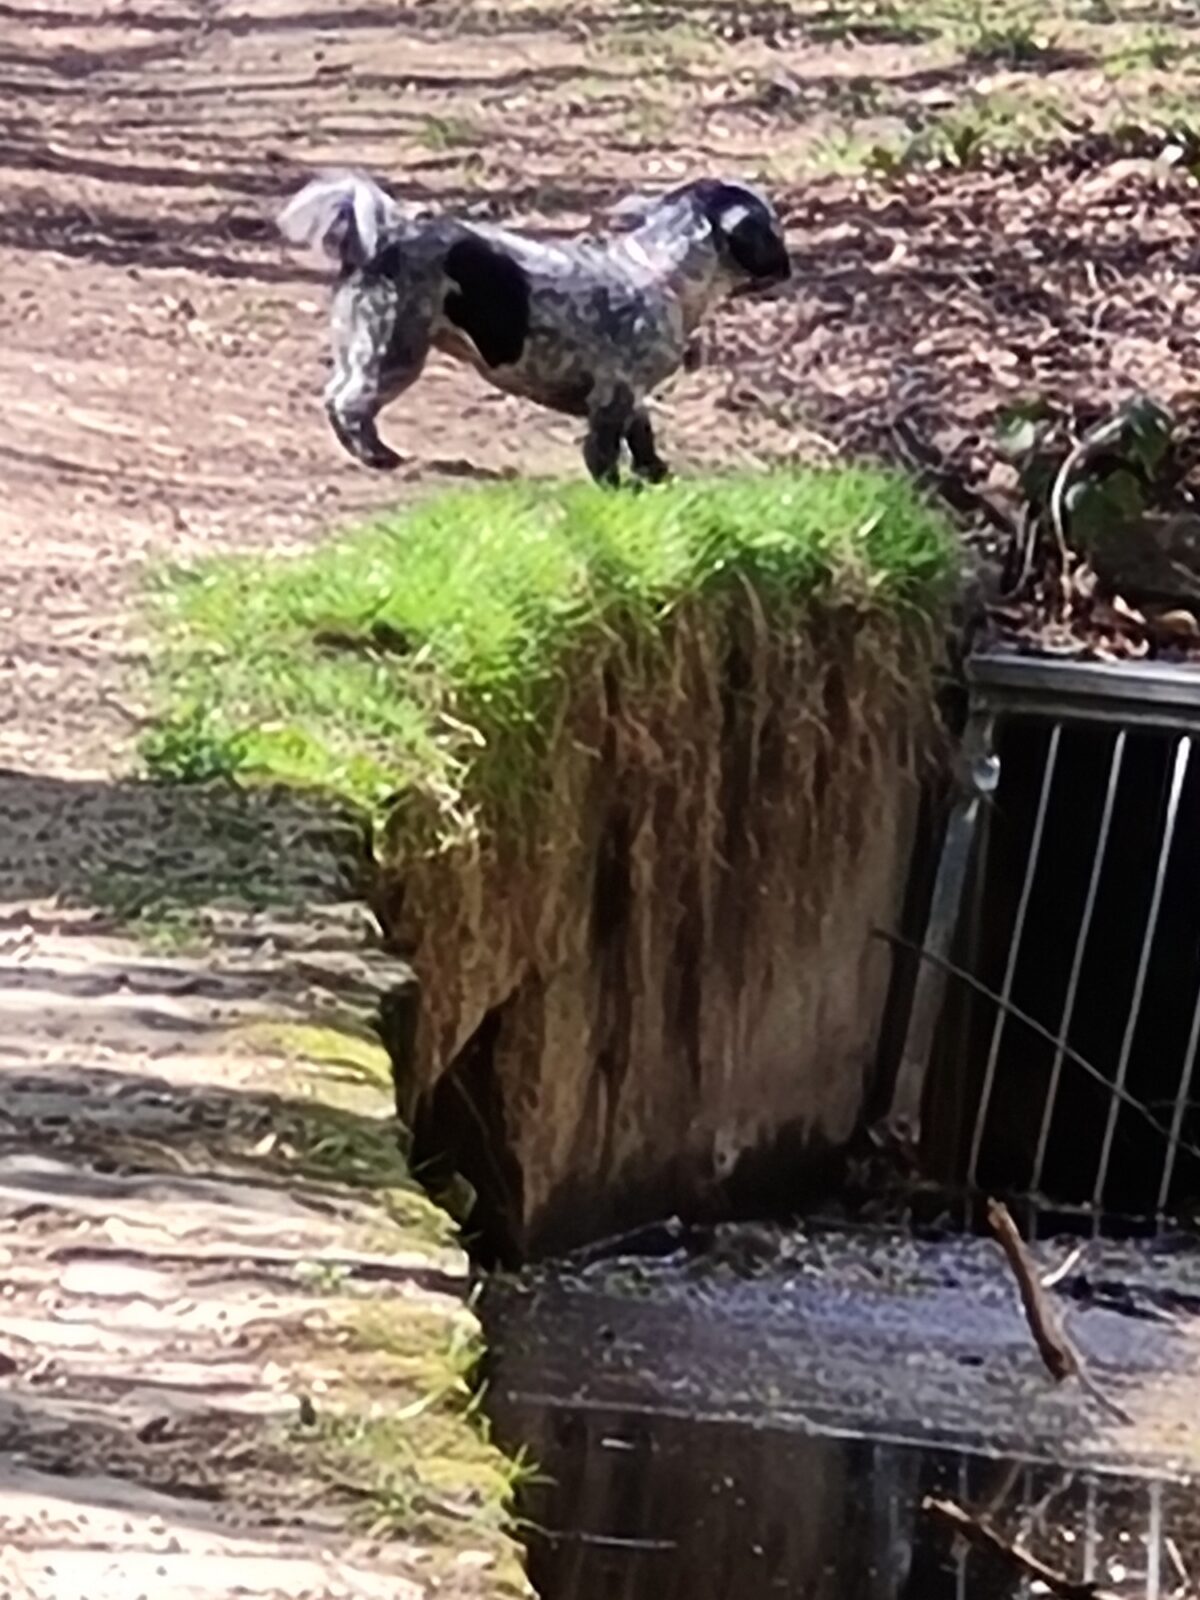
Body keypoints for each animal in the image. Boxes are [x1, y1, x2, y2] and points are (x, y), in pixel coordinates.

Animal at [278, 170, 793, 480]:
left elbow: (642, 438)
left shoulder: (633, 396)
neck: (658, 270)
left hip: (363, 346)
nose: (789, 266)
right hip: (395, 352)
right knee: (349, 404)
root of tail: (384, 236)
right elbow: (604, 450)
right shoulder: (614, 392)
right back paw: (378, 456)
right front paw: (618, 488)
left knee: (335, 394)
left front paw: (656, 475)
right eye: (772, 229)